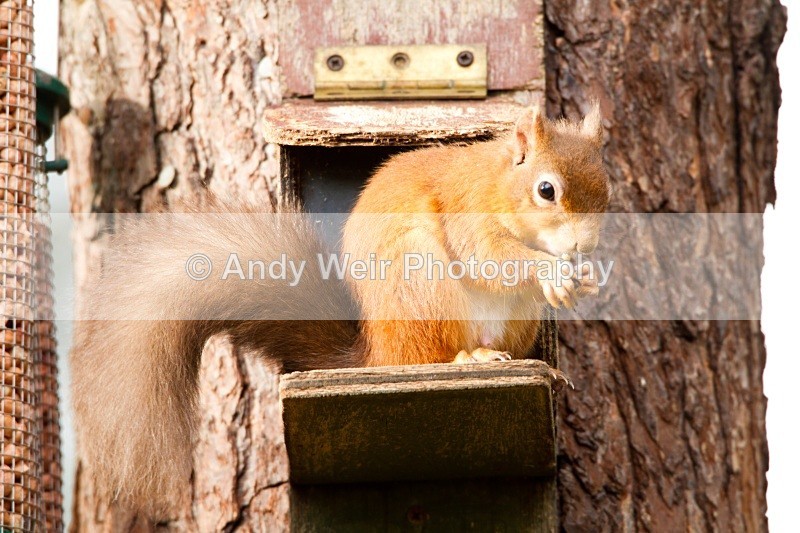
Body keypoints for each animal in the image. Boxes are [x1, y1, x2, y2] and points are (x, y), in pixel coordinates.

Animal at [71, 104, 610, 513]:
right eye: (546, 190)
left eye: (606, 188)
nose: (583, 246)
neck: (499, 184)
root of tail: (376, 355)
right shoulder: (468, 214)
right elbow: (489, 258)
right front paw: (551, 270)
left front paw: (583, 275)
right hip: (420, 279)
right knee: (427, 356)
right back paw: (468, 358)